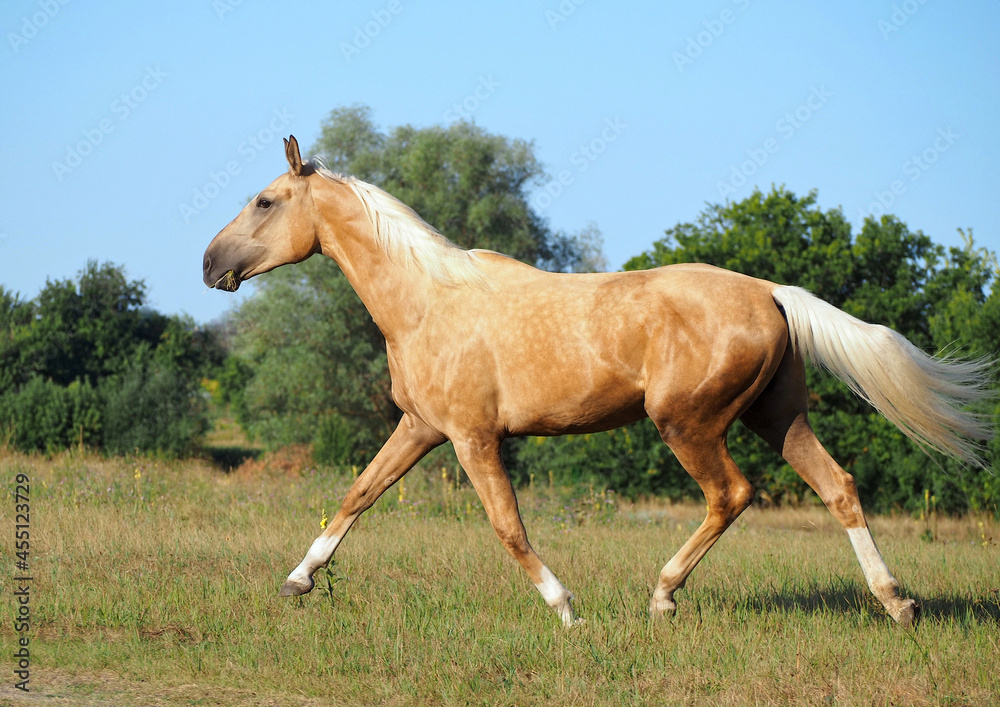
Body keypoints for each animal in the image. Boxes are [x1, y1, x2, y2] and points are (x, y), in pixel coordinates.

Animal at [203, 135, 991, 627]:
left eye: (265, 201)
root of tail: (770, 291)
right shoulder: (421, 428)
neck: (427, 301)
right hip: (778, 416)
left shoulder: (471, 437)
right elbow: (357, 495)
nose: (211, 265)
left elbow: (508, 526)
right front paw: (298, 580)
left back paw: (663, 598)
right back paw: (898, 603)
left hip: (688, 423)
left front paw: (566, 608)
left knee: (732, 494)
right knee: (839, 487)